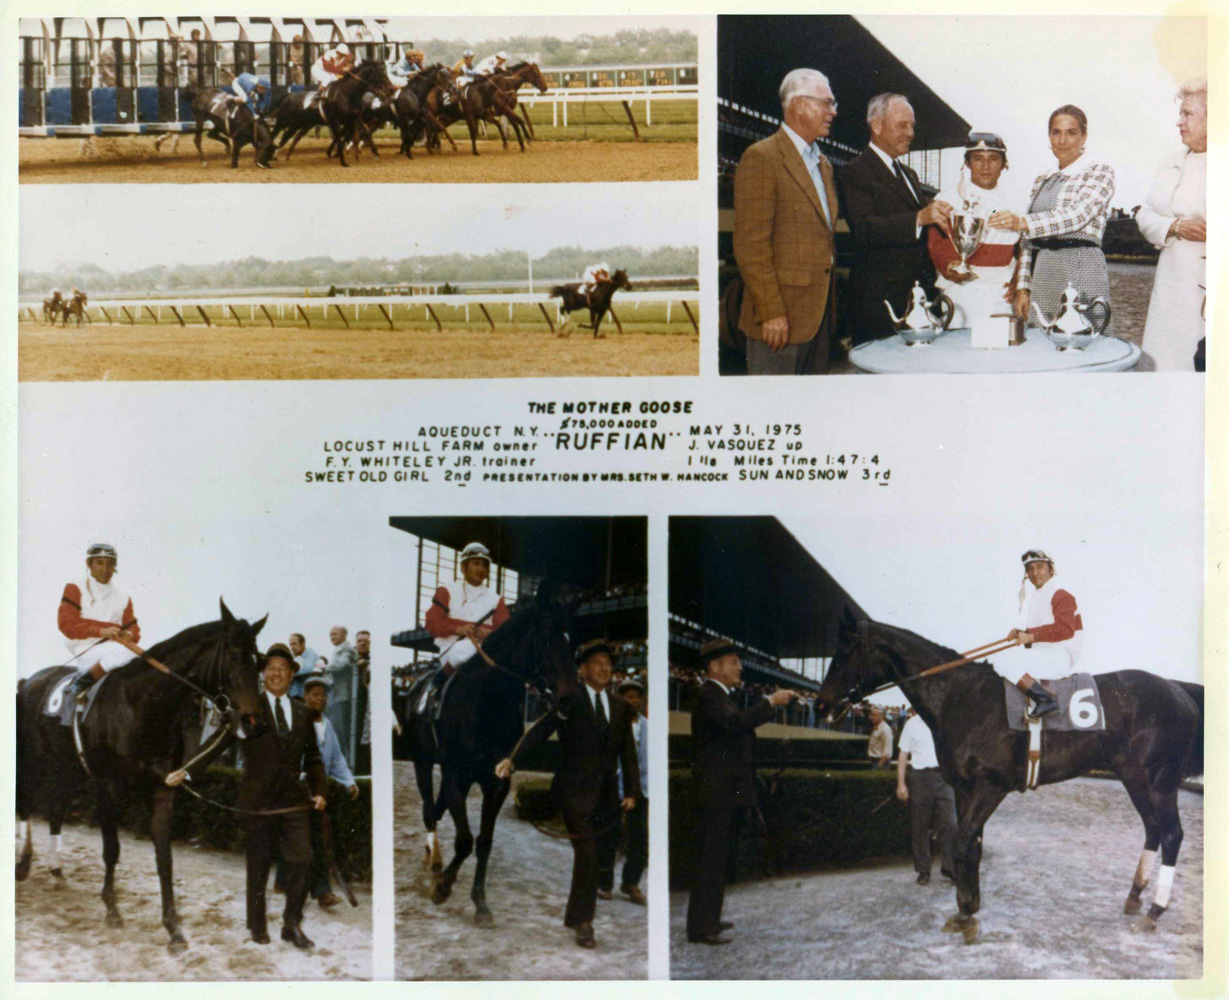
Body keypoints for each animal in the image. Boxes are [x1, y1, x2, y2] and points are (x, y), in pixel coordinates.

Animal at [14, 601, 266, 953]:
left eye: (259, 660)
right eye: (232, 655)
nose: (254, 720)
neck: (141, 706)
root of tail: (29, 680)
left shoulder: (163, 787)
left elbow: (165, 859)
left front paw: (173, 927)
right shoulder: (106, 786)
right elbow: (112, 849)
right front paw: (112, 909)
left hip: (67, 768)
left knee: (56, 809)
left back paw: (55, 868)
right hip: (34, 760)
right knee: (25, 801)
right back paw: (23, 864)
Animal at [400, 582, 577, 928]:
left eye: (572, 639)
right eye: (547, 636)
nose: (569, 699)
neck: (486, 705)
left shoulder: (498, 780)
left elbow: (483, 841)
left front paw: (480, 902)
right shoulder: (456, 775)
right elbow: (465, 840)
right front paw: (442, 888)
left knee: (437, 808)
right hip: (422, 761)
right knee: (428, 810)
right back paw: (434, 859)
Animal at [816, 611, 1199, 948]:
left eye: (843, 652)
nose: (822, 706)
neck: (962, 697)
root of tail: (1179, 691)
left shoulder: (991, 786)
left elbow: (961, 844)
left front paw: (966, 916)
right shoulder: (964, 789)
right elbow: (971, 846)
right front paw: (968, 908)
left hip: (1159, 780)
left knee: (1172, 834)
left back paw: (1154, 911)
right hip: (1133, 776)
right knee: (1153, 829)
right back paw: (1134, 897)